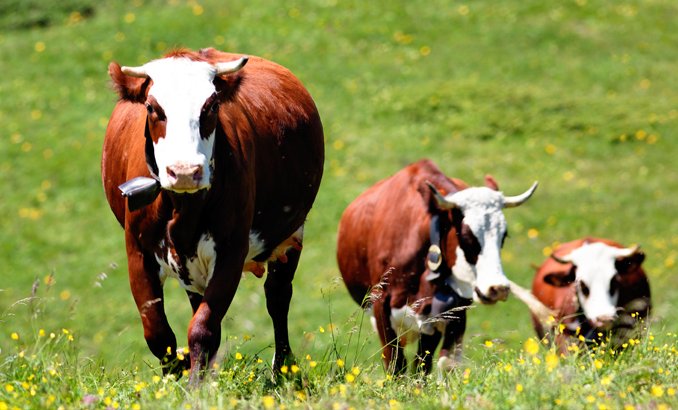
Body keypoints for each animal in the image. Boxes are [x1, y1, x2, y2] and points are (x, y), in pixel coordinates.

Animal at [101, 48, 324, 382]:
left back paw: (283, 368)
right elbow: (159, 334)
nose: (184, 171)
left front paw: (196, 385)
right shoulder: (137, 253)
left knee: (277, 297)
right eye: (152, 108)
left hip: (290, 235)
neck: (184, 208)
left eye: (212, 105)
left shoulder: (231, 250)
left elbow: (203, 328)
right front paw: (174, 377)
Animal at [336, 159, 538, 374]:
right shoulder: (381, 305)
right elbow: (395, 364)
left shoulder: (439, 315)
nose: (498, 288)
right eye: (465, 236)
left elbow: (423, 366)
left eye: (503, 235)